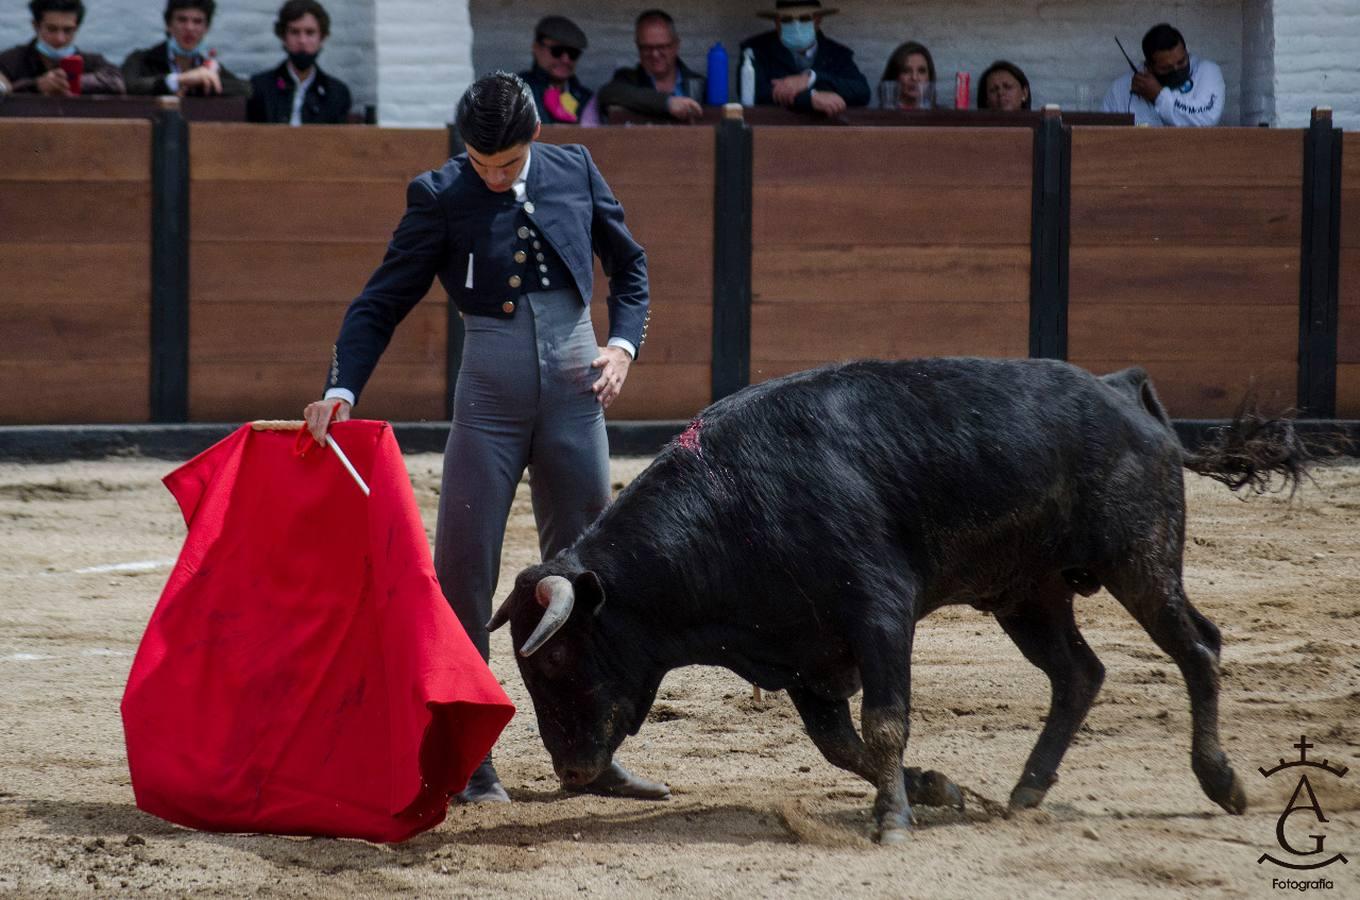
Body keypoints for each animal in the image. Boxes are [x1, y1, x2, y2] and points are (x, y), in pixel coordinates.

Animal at [486, 358, 1305, 848]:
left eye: (554, 658)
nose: (569, 772)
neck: (732, 502)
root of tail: (1120, 388)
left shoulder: (879, 615)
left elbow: (882, 726)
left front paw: (894, 821)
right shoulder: (804, 657)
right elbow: (842, 745)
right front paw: (937, 788)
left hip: (1140, 561)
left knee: (1197, 647)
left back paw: (1221, 780)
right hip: (1029, 594)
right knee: (1079, 674)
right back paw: (1026, 789)